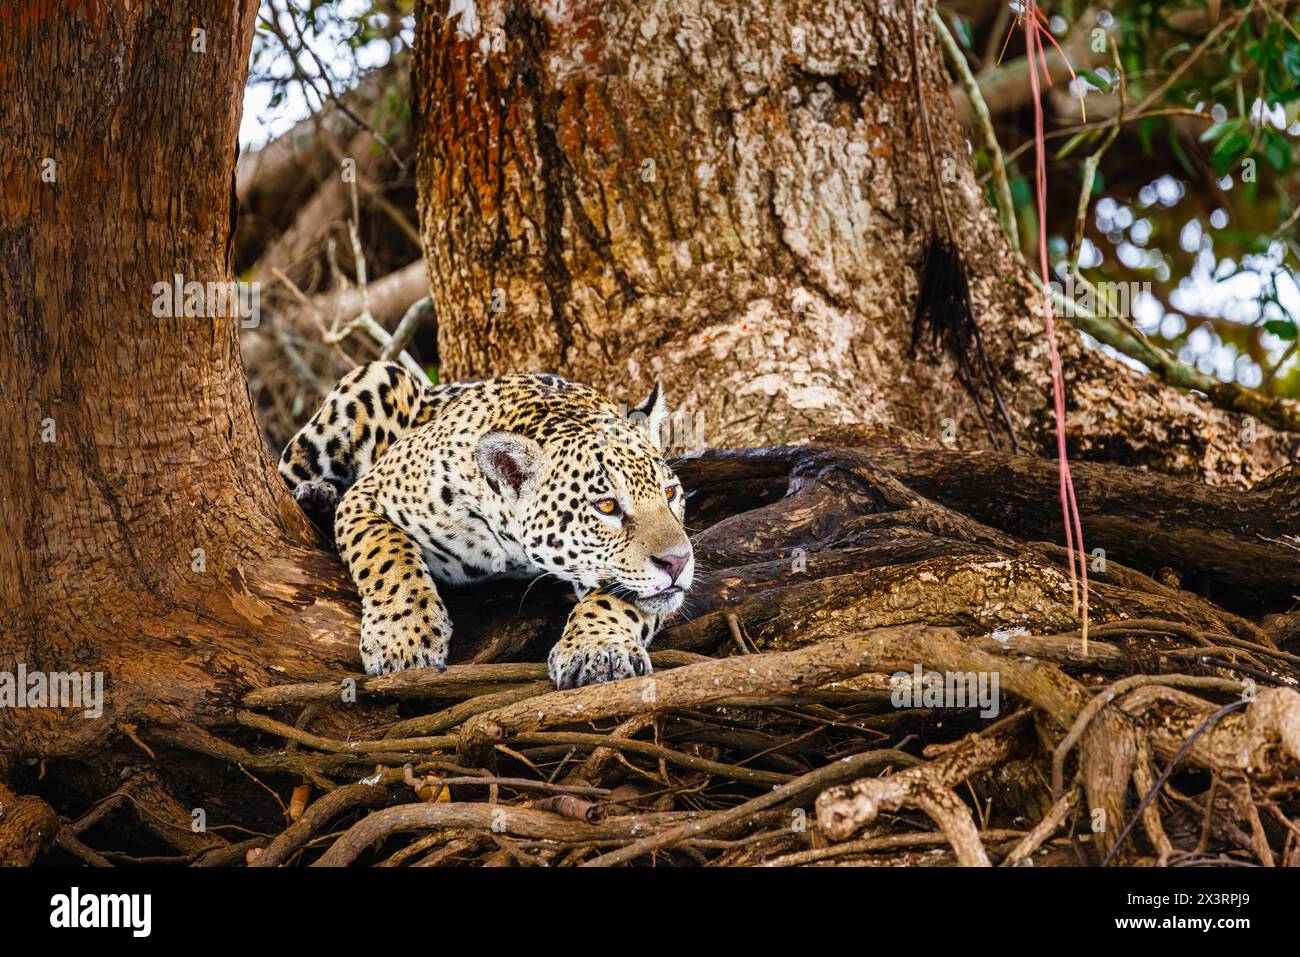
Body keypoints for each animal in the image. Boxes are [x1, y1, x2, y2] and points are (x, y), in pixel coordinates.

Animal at [277, 360, 693, 689]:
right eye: (606, 505)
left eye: (670, 493)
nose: (678, 561)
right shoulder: (368, 496)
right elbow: (386, 555)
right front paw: (404, 639)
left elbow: (619, 600)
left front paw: (599, 650)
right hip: (377, 379)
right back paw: (315, 495)